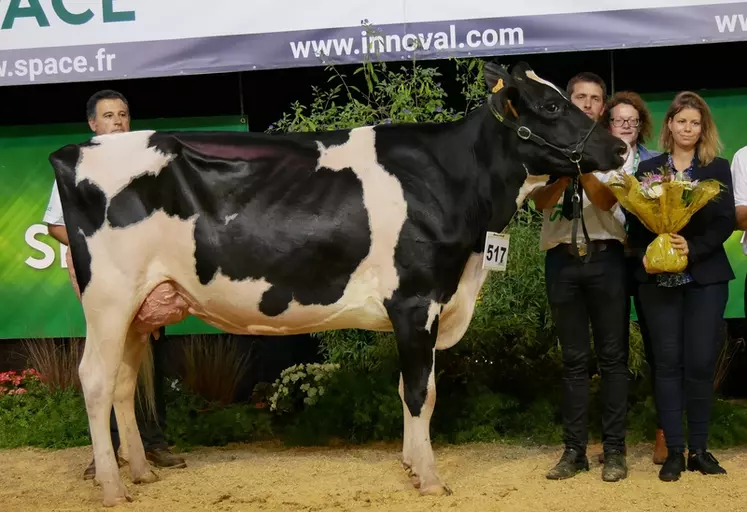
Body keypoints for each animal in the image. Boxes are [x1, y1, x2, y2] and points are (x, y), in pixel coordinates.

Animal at [48, 61, 624, 508]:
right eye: (550, 106)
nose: (619, 148)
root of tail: (75, 150)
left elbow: (407, 389)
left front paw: (411, 465)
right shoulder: (416, 301)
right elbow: (422, 391)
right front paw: (430, 479)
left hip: (139, 304)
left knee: (123, 382)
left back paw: (141, 473)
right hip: (108, 297)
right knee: (95, 380)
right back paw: (112, 488)